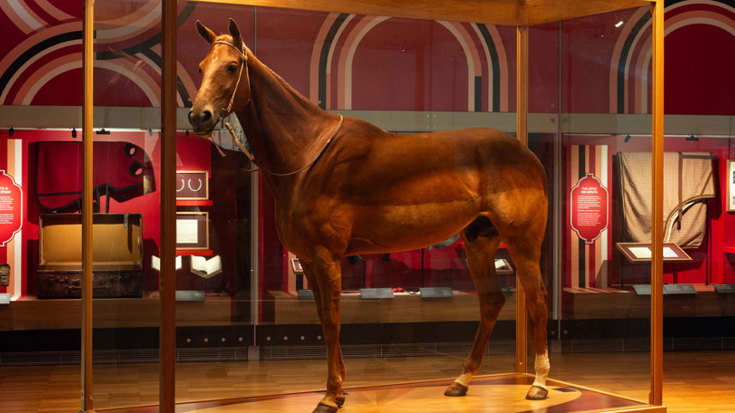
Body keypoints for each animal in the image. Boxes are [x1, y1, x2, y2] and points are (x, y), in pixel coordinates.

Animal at [189, 19, 550, 413]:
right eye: (201, 67)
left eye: (231, 66)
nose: (198, 116)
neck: (309, 154)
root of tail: (528, 156)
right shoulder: (308, 260)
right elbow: (322, 319)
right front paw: (339, 390)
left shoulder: (326, 256)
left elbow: (332, 321)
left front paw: (331, 395)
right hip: (478, 242)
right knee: (492, 302)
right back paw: (461, 380)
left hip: (521, 241)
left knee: (537, 299)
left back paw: (539, 384)